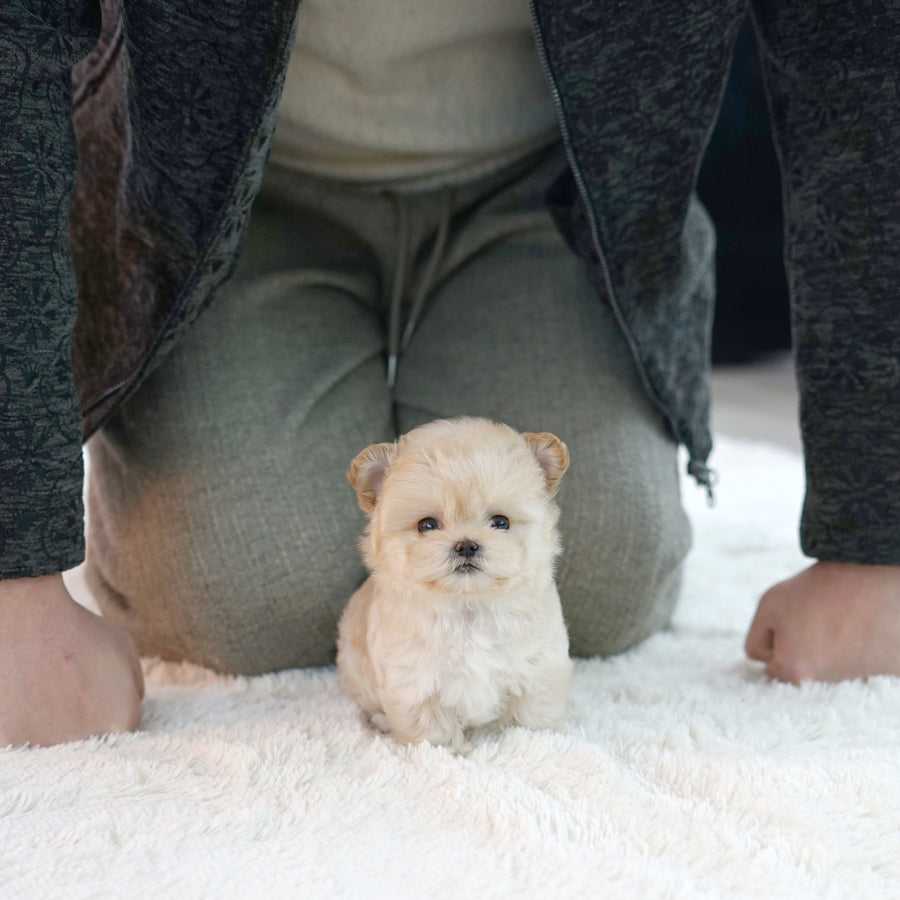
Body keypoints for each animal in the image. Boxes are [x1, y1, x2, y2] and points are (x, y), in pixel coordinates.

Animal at [338, 416, 568, 752]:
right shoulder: (414, 681)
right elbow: (432, 730)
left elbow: (528, 714)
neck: (468, 604)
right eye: (427, 525)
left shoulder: (539, 665)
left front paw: (527, 741)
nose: (466, 545)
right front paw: (451, 754)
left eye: (501, 522)